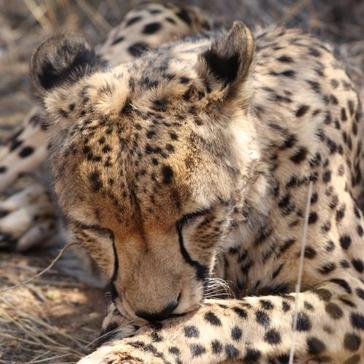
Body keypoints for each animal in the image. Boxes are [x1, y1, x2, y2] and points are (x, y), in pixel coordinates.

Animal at [3, 1, 364, 362]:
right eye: (96, 229)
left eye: (194, 216)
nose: (155, 311)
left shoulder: (352, 291)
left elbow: (226, 315)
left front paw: (128, 349)